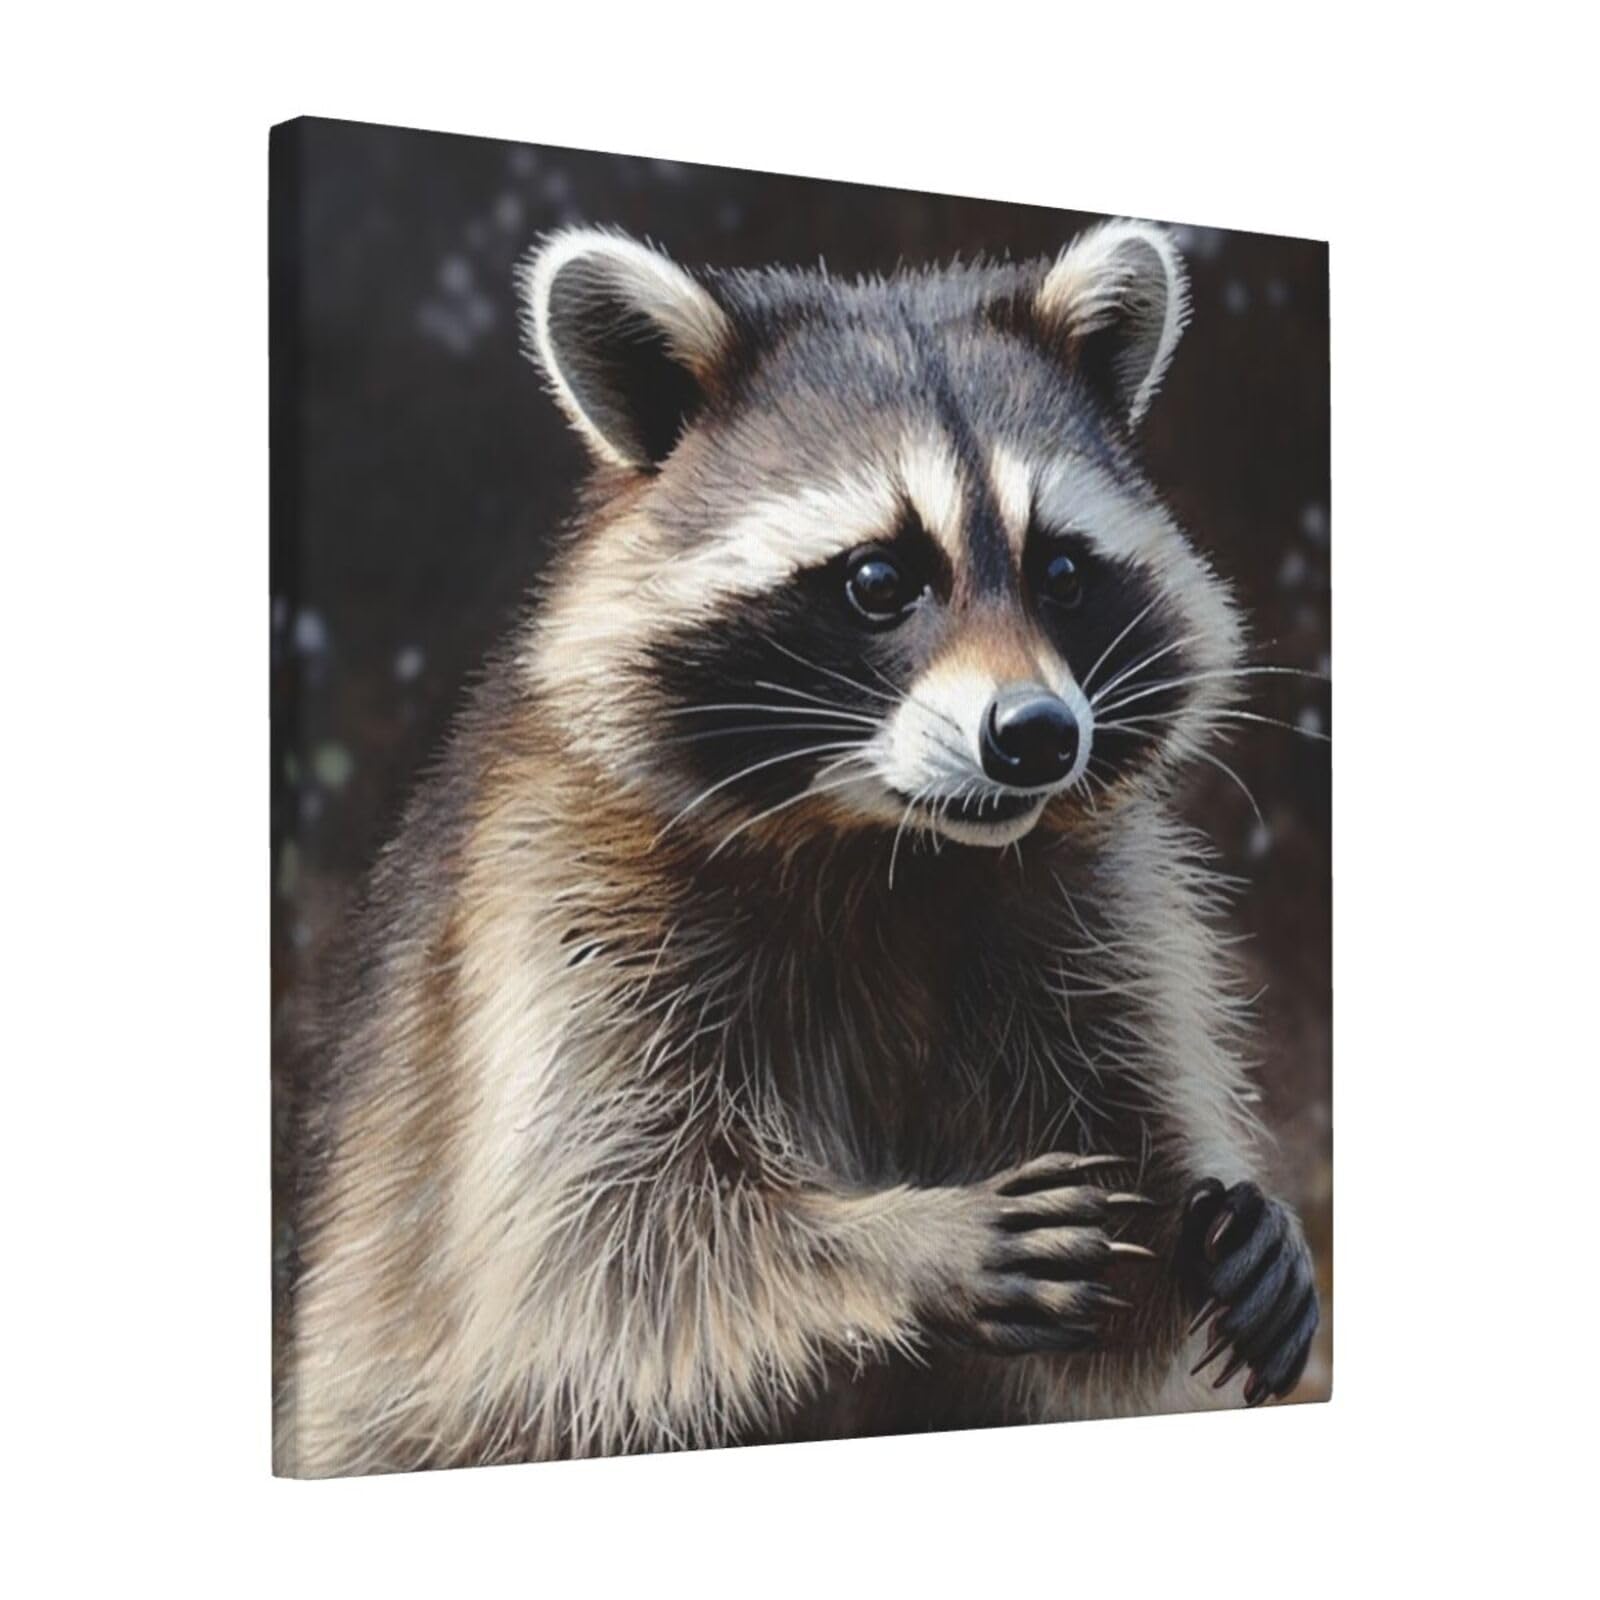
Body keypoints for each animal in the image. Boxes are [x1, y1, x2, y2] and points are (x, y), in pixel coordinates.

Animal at [275, 218, 1321, 1477]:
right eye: (878, 578)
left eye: (1063, 571)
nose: (1036, 736)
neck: (892, 846)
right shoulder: (554, 904)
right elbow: (594, 1256)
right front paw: (906, 1241)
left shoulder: (1084, 911)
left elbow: (1114, 1255)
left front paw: (1218, 1224)